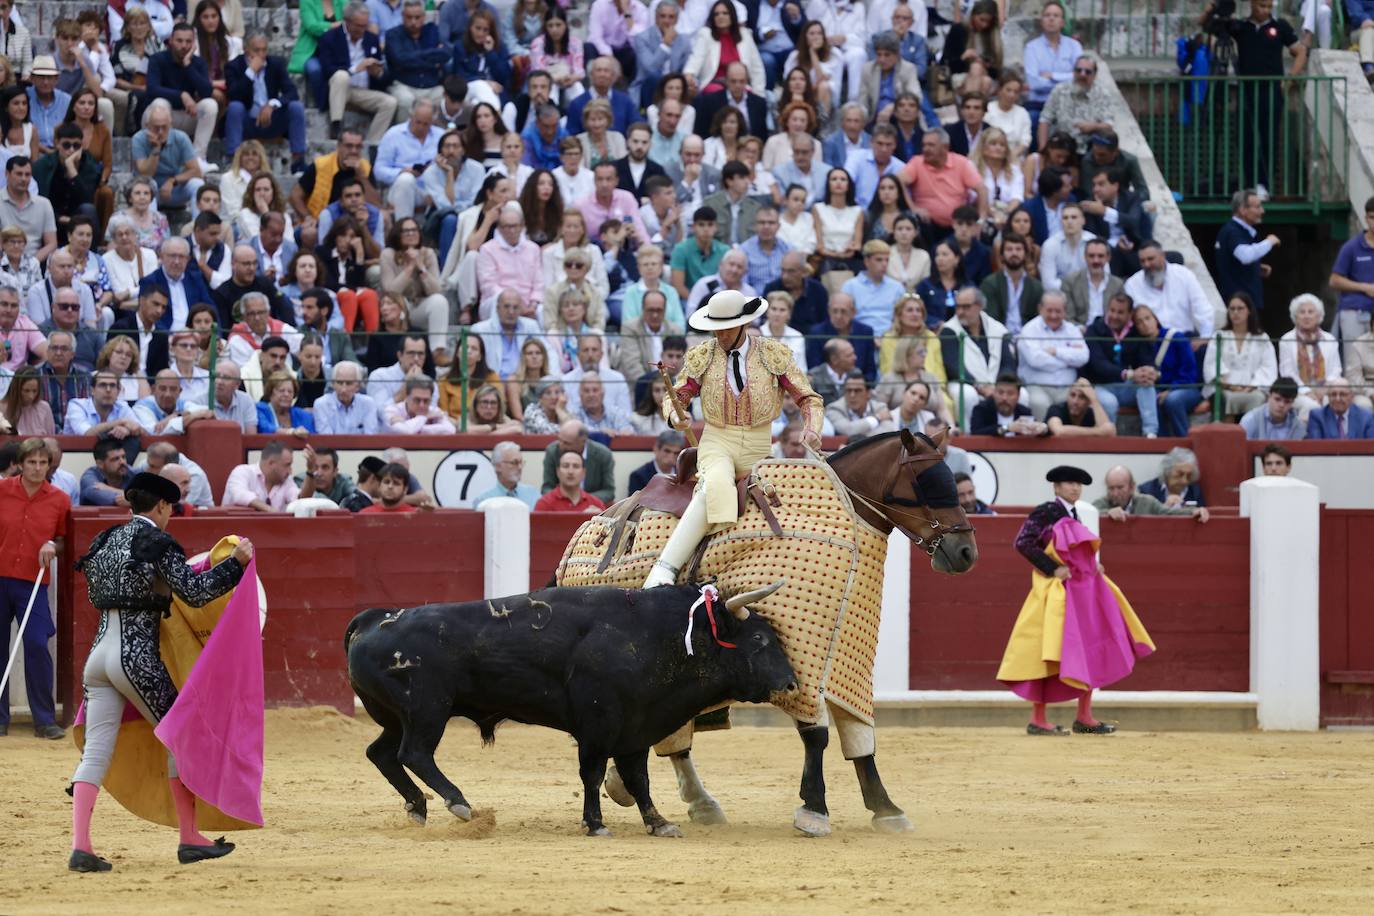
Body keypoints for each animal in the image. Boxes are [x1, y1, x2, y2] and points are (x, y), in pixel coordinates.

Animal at [343, 585, 796, 834]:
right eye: (759, 639)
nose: (791, 682)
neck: (656, 634)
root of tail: (373, 620)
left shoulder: (636, 728)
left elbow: (639, 779)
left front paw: (658, 823)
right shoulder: (598, 726)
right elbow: (593, 774)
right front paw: (595, 824)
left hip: (395, 717)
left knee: (381, 753)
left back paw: (417, 807)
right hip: (427, 710)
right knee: (414, 753)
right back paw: (459, 804)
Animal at [610, 431, 978, 840]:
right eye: (928, 483)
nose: (966, 552)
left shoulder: (845, 655)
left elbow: (858, 731)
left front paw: (886, 808)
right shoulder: (797, 656)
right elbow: (815, 732)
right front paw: (814, 810)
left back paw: (672, 796)